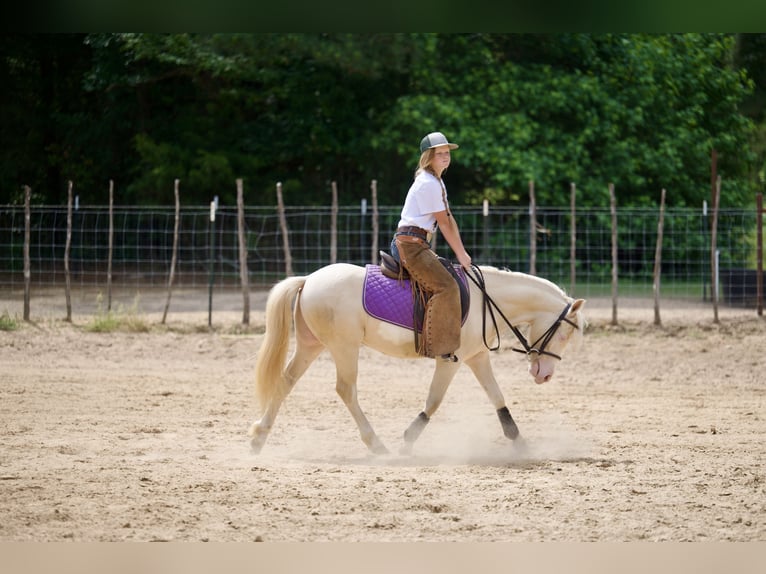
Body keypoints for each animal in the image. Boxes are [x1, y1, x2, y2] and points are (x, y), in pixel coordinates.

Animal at [248, 263, 586, 455]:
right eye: (565, 335)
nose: (544, 375)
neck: (486, 300)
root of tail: (309, 279)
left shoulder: (477, 357)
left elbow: (498, 398)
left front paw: (520, 442)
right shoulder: (451, 360)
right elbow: (434, 401)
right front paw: (408, 439)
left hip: (312, 345)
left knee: (286, 382)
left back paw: (258, 439)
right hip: (344, 347)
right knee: (346, 390)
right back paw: (377, 445)